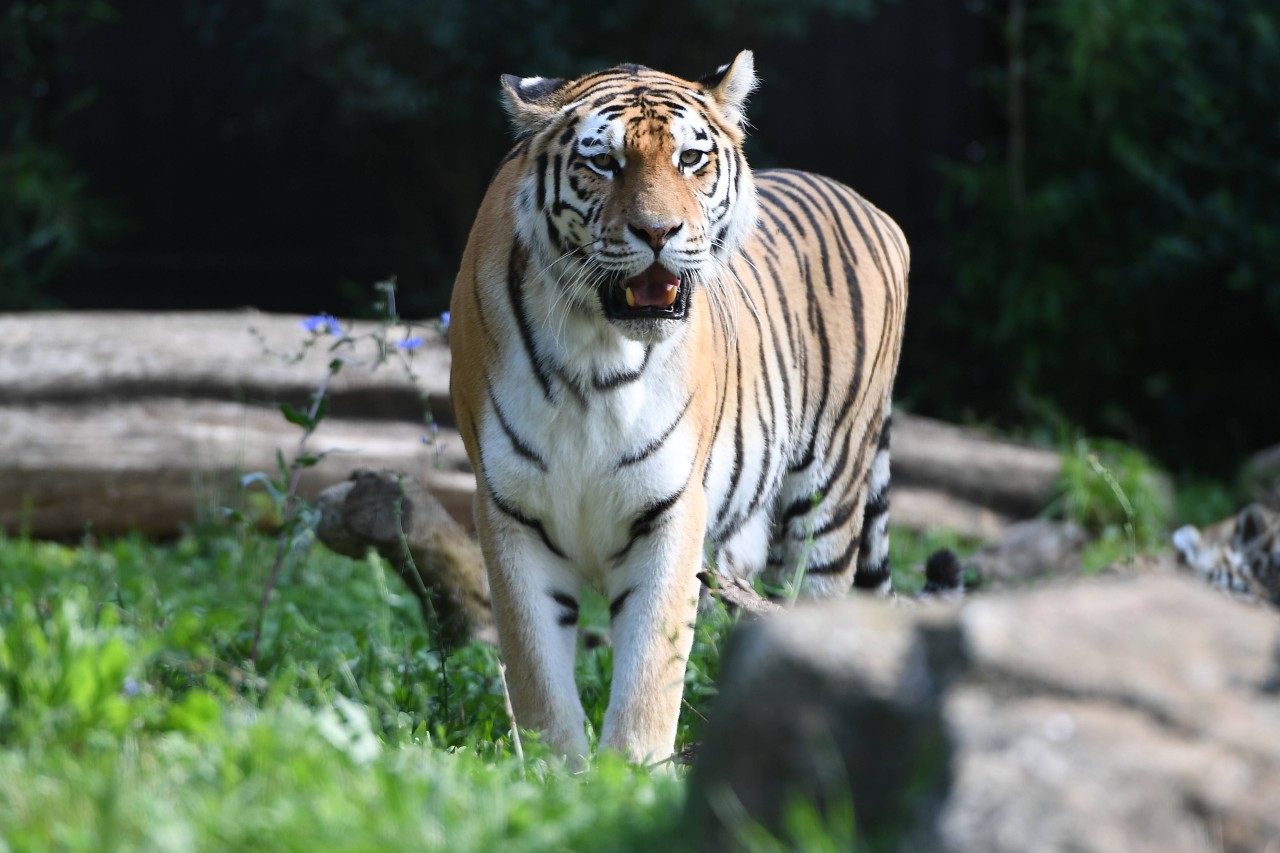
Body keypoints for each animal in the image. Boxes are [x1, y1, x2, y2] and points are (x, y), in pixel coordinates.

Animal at [450, 49, 911, 758]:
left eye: (691, 159)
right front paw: (558, 768)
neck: (596, 351)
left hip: (829, 497)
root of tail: (863, 201)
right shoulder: (509, 509)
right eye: (603, 163)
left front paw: (630, 770)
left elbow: (649, 665)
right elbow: (536, 671)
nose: (658, 232)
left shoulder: (670, 509)